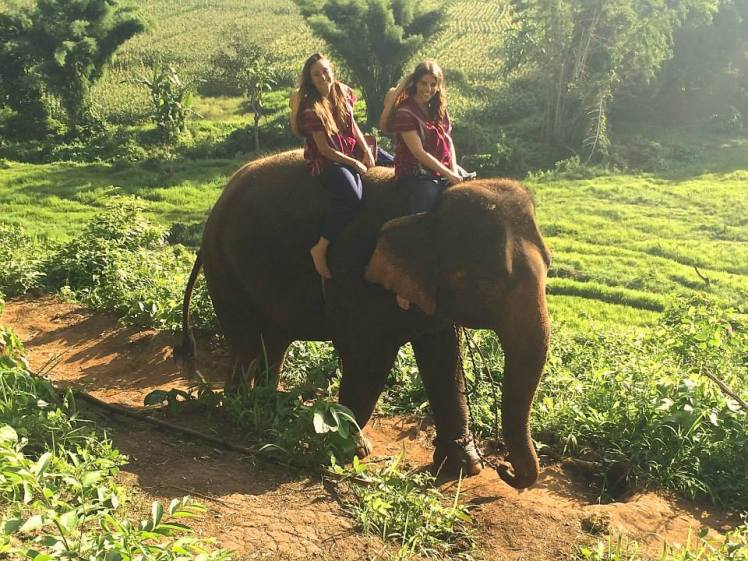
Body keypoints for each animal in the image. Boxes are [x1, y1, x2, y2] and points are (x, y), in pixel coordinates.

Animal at [181, 149, 551, 488]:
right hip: (224, 264)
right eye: (489, 283)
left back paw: (269, 408)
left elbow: (444, 359)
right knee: (245, 338)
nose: (504, 469)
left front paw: (462, 468)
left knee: (274, 340)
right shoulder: (353, 273)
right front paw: (351, 452)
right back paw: (239, 407)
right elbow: (368, 359)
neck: (428, 209)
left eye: (548, 269)